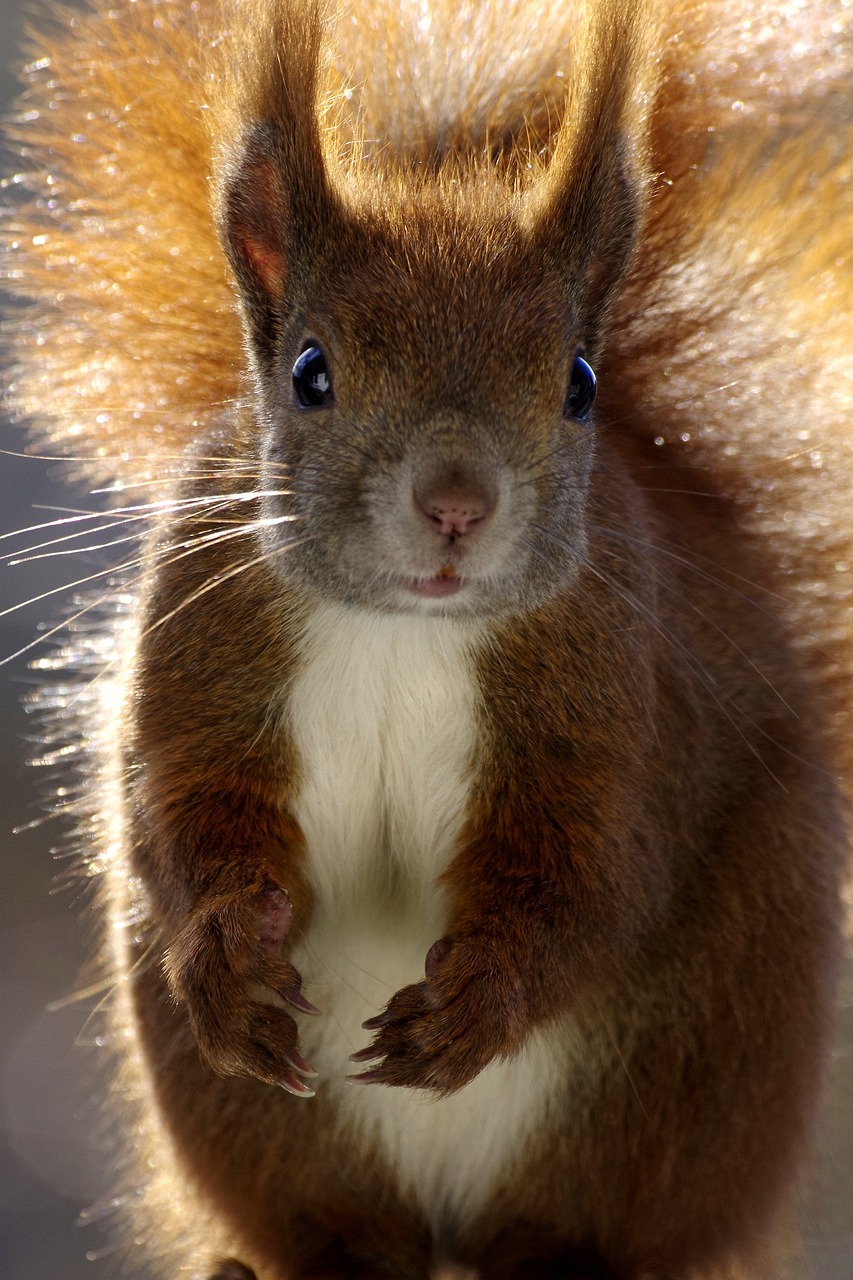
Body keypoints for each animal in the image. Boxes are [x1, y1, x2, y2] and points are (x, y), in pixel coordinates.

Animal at [3, 0, 853, 1277]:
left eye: (579, 382)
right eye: (310, 373)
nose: (457, 505)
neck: (405, 629)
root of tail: (448, 1236)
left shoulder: (619, 691)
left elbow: (594, 872)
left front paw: (479, 1001)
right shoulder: (198, 640)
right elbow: (181, 810)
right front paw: (223, 952)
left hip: (682, 1071)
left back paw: (558, 1252)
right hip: (259, 1125)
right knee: (341, 1224)